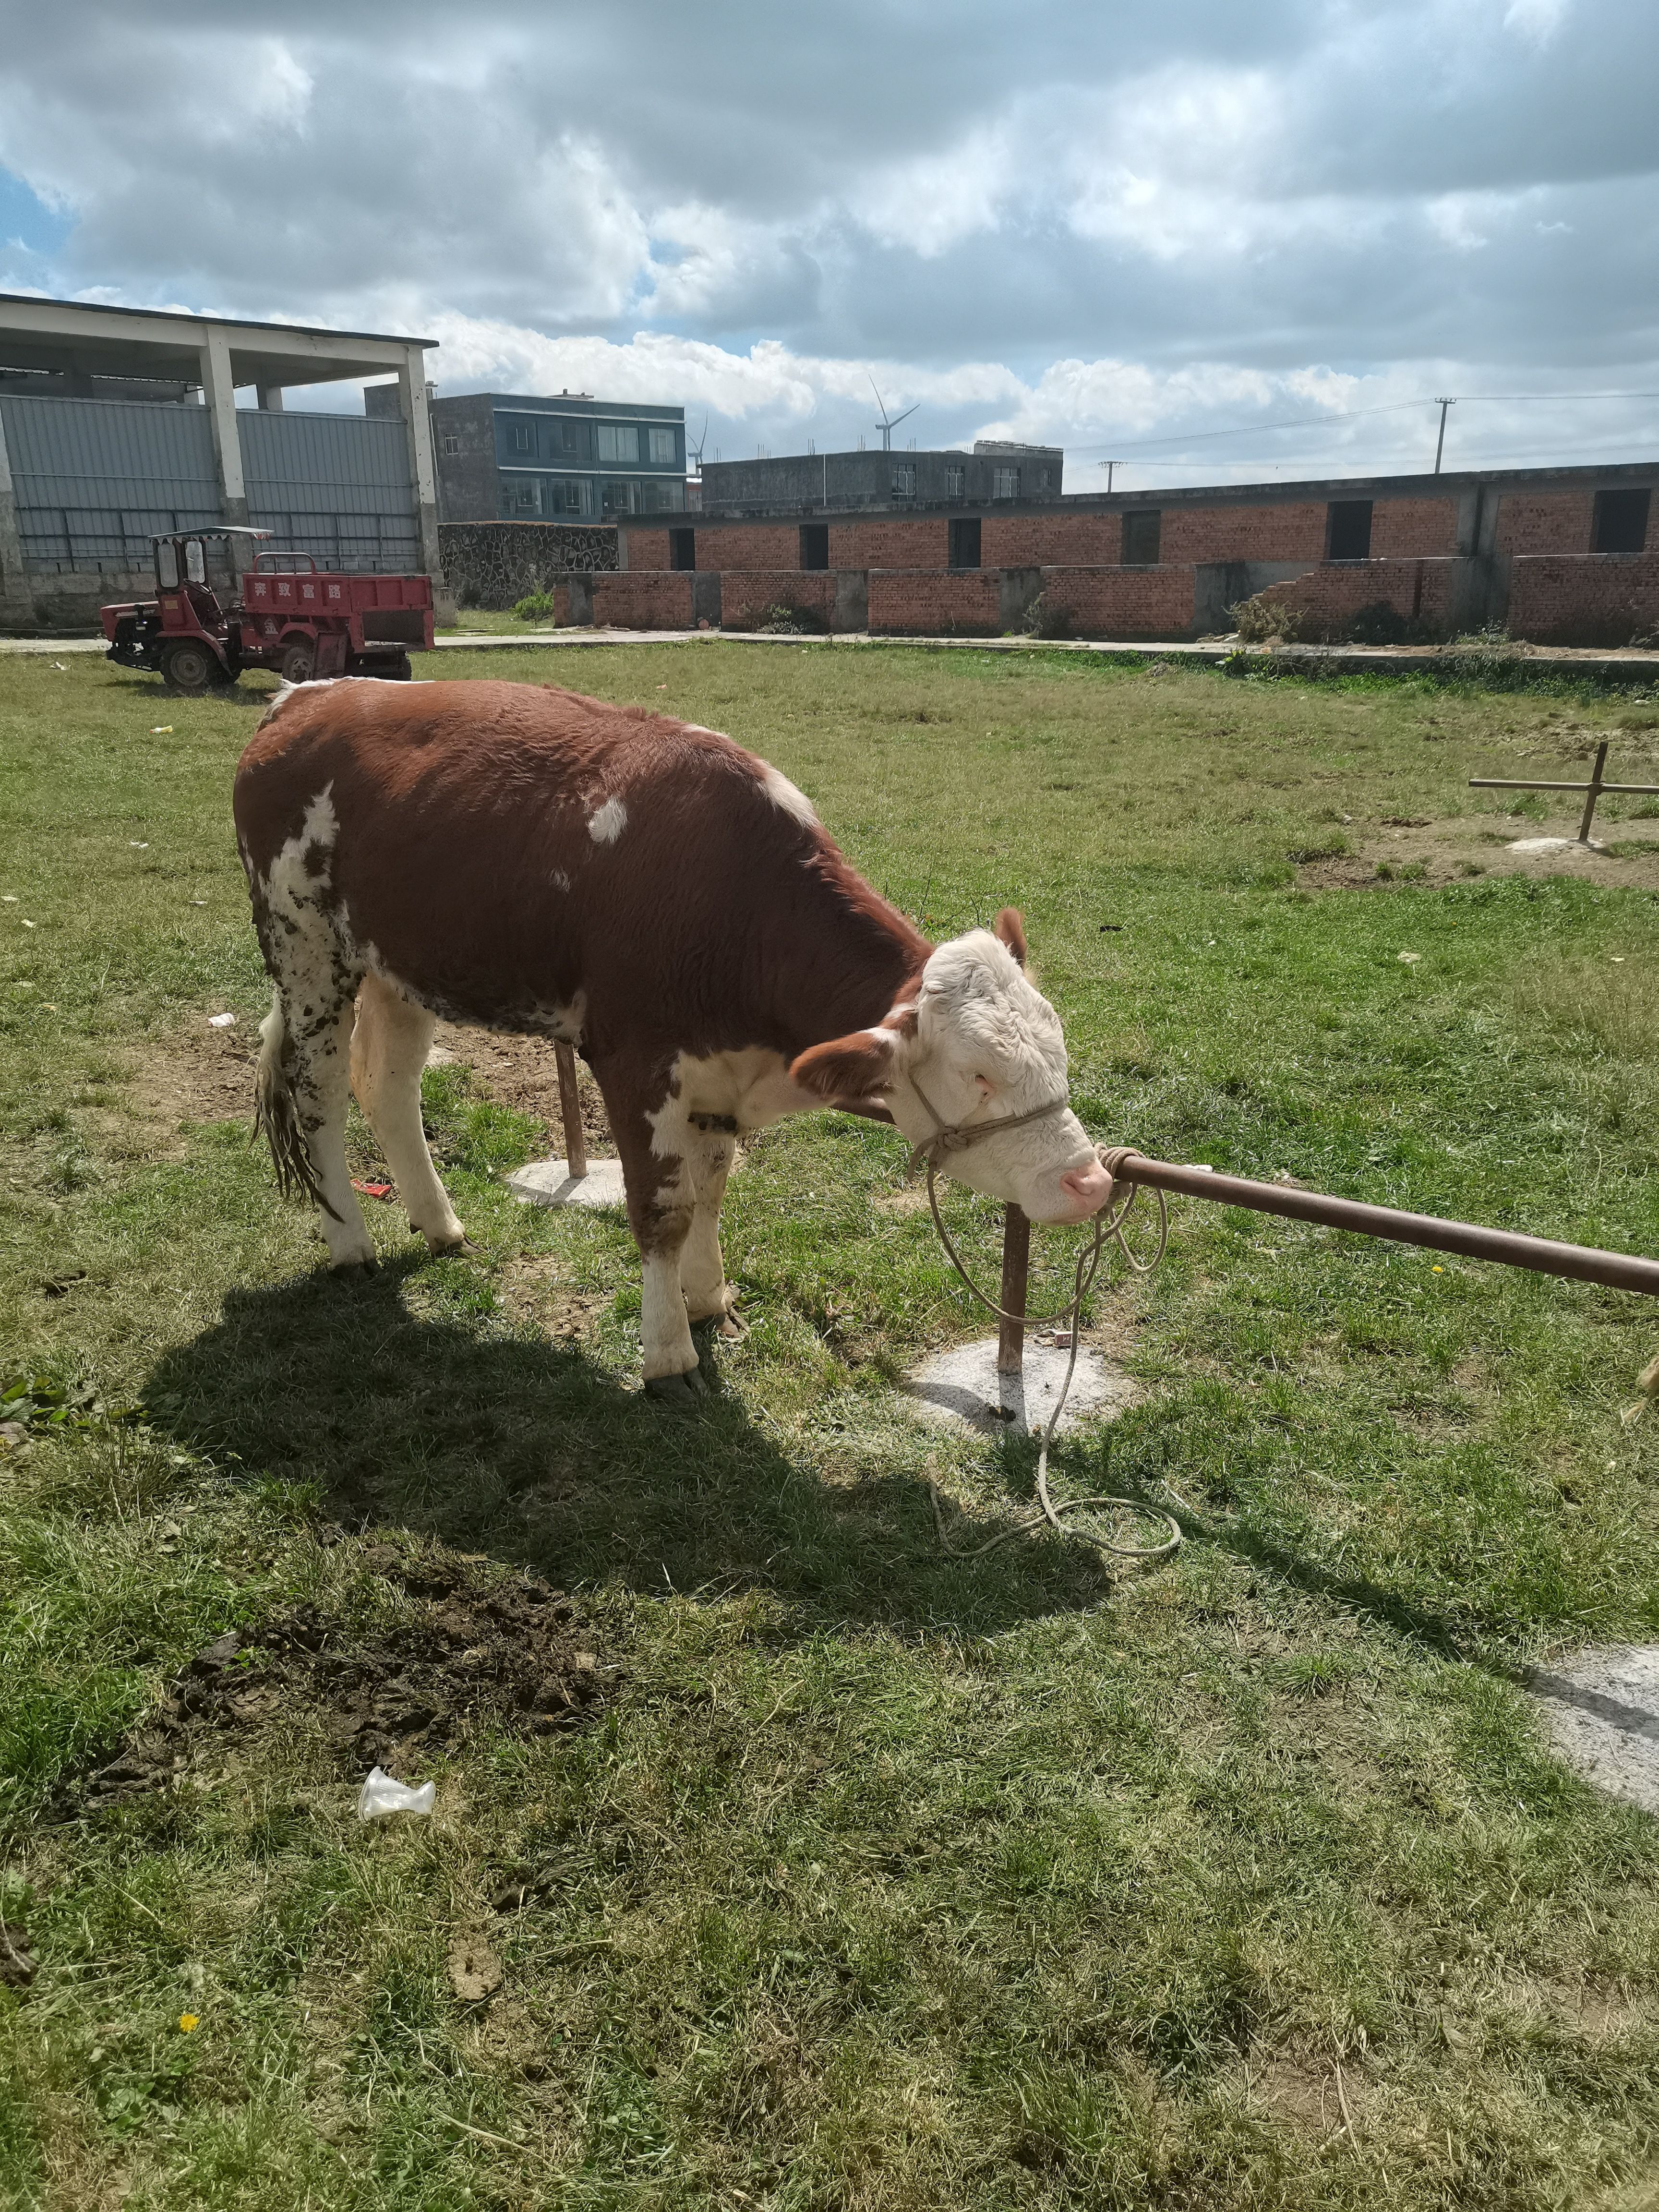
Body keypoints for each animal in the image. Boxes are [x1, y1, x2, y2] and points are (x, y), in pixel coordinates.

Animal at [234, 677, 1119, 1398]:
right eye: (978, 1074)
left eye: (1059, 1054)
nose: (1091, 1183)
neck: (737, 904)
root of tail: (306, 697)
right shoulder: (634, 1061)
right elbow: (663, 1207)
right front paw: (667, 1355)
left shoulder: (719, 1076)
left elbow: (711, 1192)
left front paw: (706, 1299)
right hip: (305, 950)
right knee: (318, 1098)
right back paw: (349, 1239)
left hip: (399, 964)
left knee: (391, 1088)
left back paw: (439, 1222)